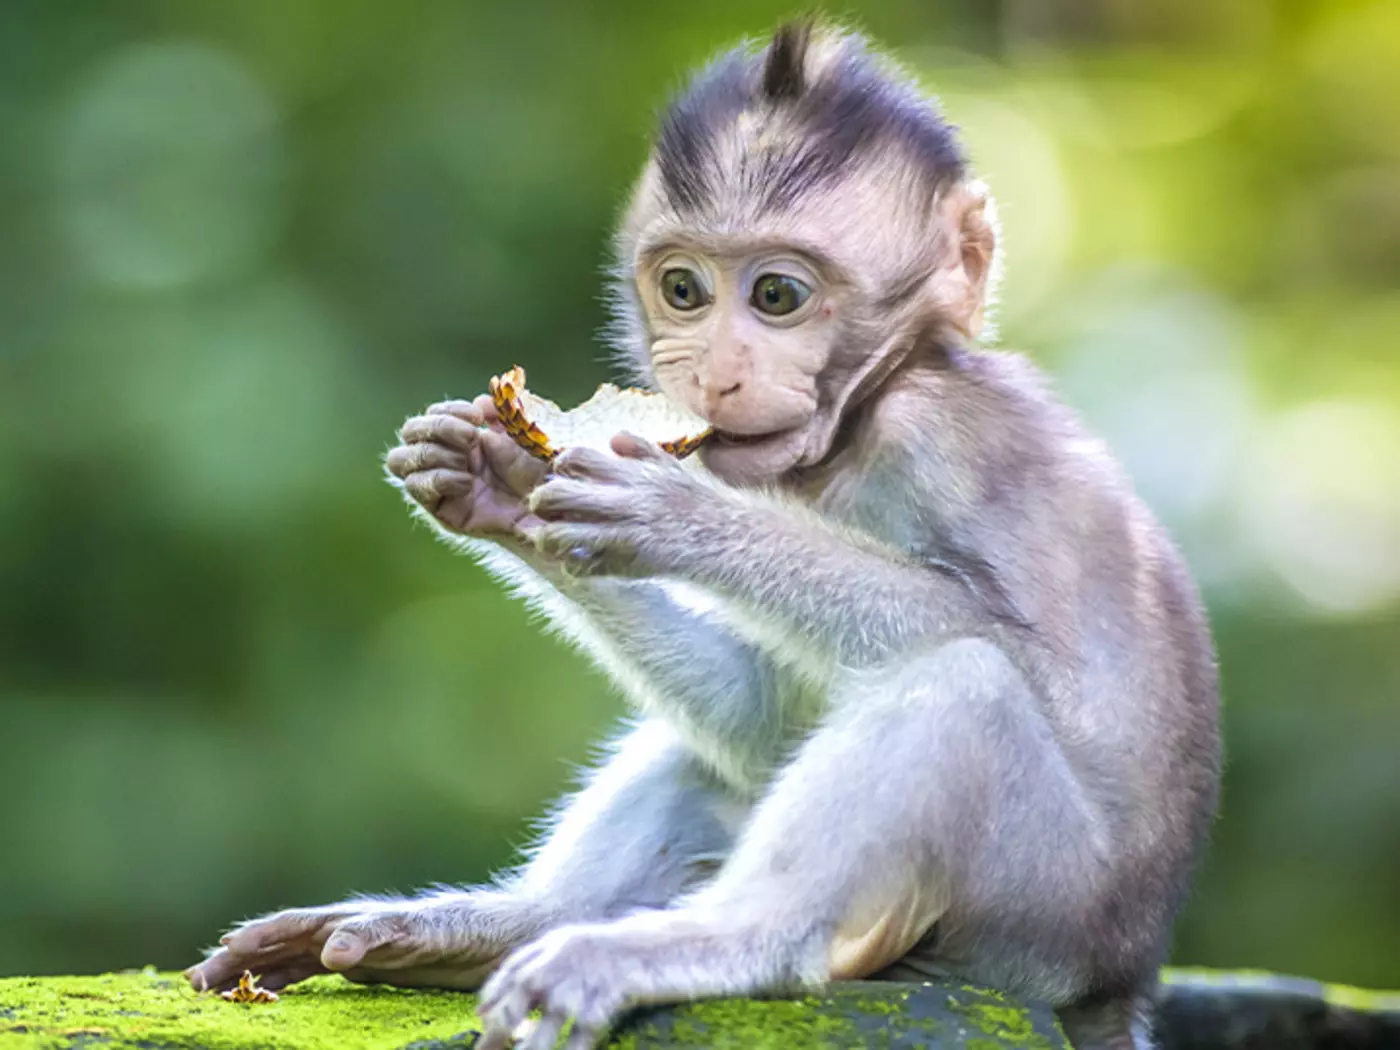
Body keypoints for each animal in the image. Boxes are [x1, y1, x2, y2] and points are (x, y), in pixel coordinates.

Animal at [186, 21, 1220, 1050]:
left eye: (776, 297)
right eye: (683, 288)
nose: (712, 371)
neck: (858, 421)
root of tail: (1119, 983)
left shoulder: (937, 439)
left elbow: (1013, 649)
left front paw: (679, 517)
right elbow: (763, 720)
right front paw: (500, 482)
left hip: (1033, 909)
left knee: (962, 686)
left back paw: (719, 941)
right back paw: (494, 929)